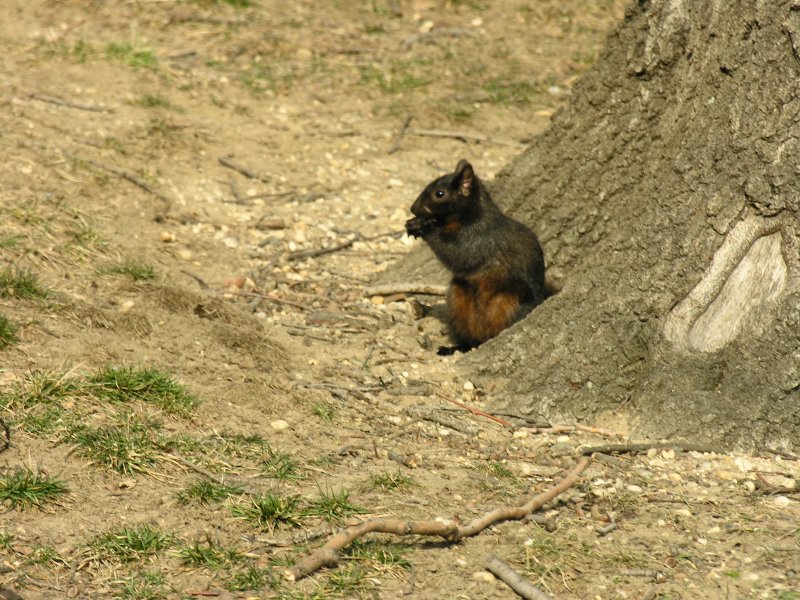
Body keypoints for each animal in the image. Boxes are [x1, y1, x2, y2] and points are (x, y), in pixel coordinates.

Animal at [405, 159, 547, 354]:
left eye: (439, 194)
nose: (413, 209)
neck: (469, 218)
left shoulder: (479, 240)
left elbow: (459, 256)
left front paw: (422, 226)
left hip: (509, 302)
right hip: (458, 302)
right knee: (468, 339)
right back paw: (454, 348)